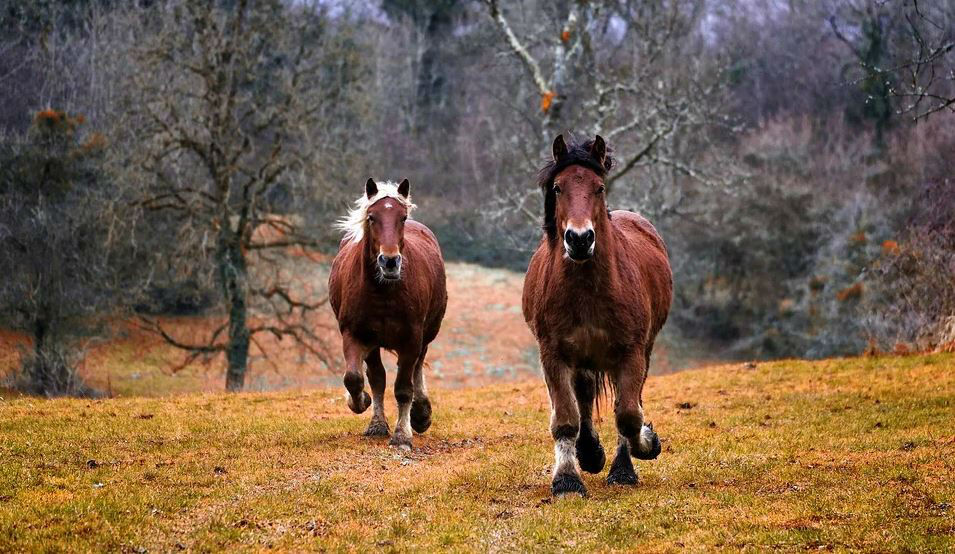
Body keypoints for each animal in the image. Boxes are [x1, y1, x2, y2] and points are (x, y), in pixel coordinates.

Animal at [328, 179, 448, 446]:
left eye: (402, 217)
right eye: (371, 217)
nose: (390, 262)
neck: (383, 292)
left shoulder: (411, 338)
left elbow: (403, 388)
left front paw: (403, 434)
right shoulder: (355, 335)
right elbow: (356, 378)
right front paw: (361, 404)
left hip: (427, 333)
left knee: (417, 366)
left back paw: (420, 414)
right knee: (377, 377)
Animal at [524, 135, 672, 496]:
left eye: (599, 187)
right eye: (558, 188)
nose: (579, 239)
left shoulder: (631, 353)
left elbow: (629, 415)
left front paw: (644, 447)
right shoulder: (554, 354)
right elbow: (566, 418)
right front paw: (567, 479)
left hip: (639, 352)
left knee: (625, 401)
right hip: (583, 359)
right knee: (585, 397)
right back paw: (589, 453)